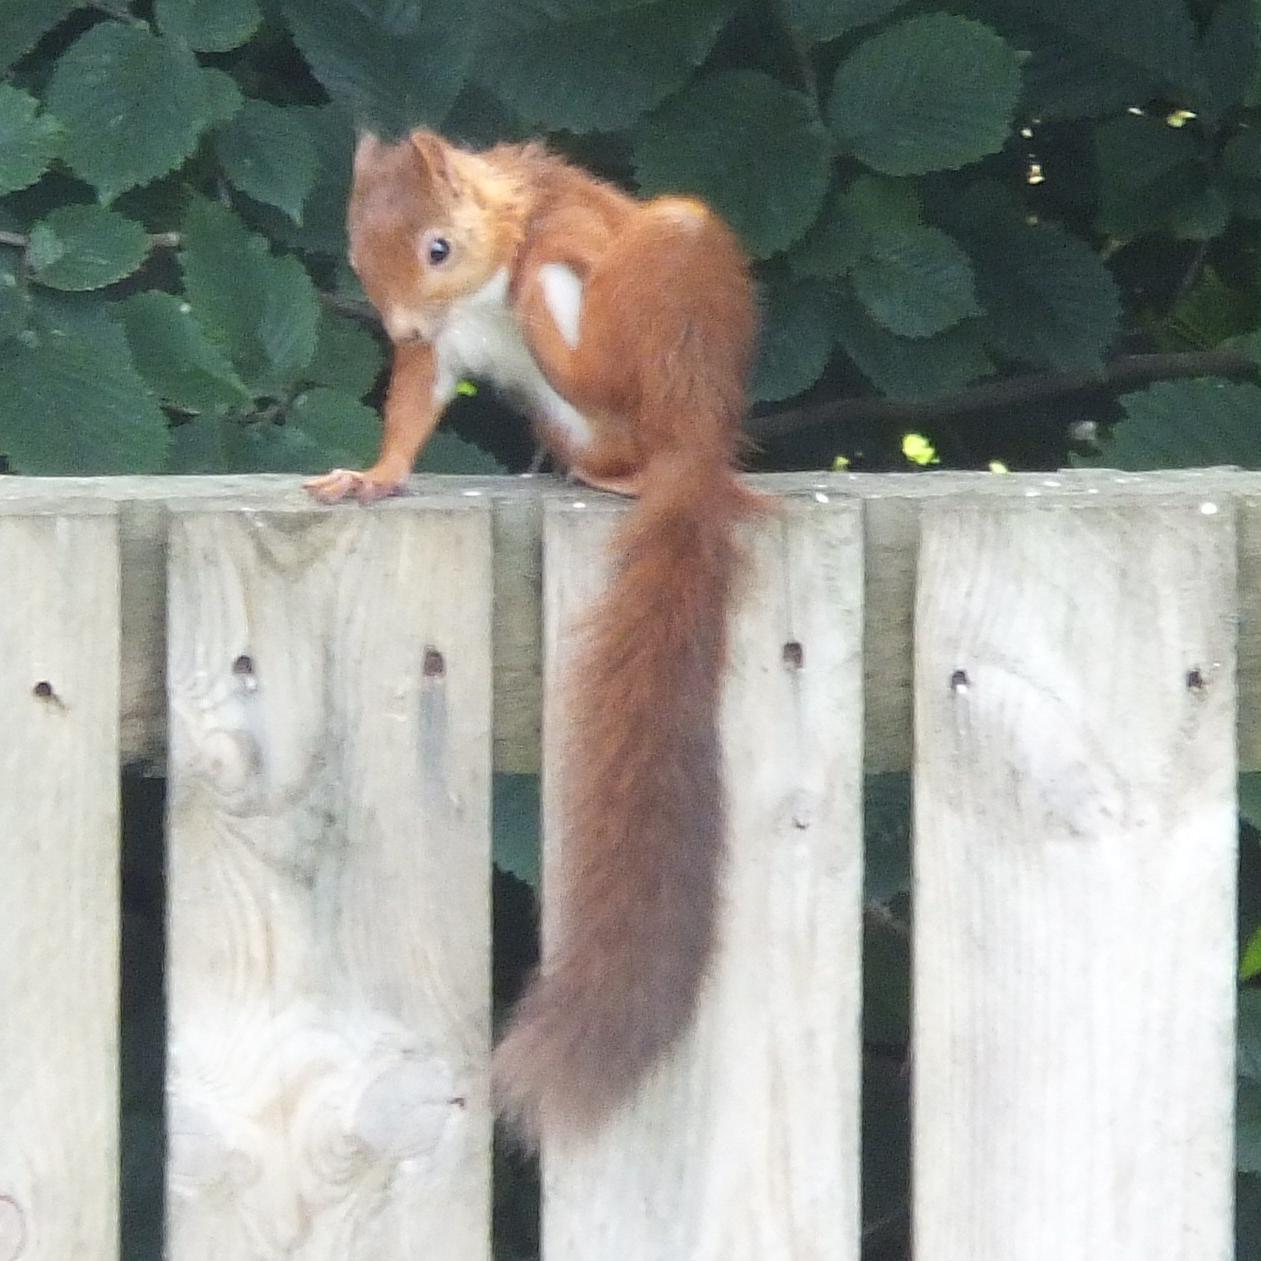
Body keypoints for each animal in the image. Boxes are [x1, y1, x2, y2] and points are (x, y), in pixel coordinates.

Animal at [307, 130, 756, 1144]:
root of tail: (692, 444)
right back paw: (609, 476)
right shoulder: (441, 353)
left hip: (656, 292)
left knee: (606, 369)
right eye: (356, 252)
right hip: (574, 421)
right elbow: (413, 407)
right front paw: (373, 475)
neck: (477, 289)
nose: (398, 327)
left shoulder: (570, 238)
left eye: (435, 247)